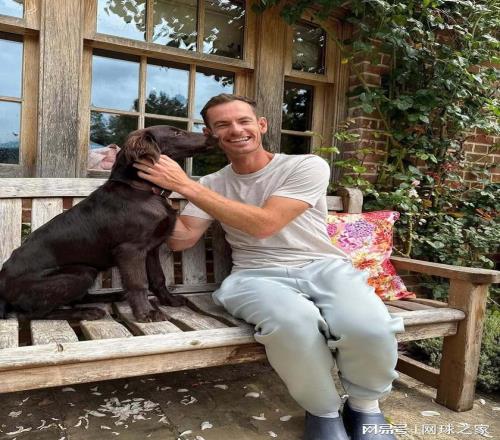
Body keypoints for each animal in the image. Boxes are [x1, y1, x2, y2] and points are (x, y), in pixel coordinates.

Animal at [0, 125, 217, 322]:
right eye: (176, 133)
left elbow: (158, 278)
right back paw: (87, 312)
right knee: (32, 314)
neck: (140, 189)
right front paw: (146, 314)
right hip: (80, 273)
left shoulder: (151, 248)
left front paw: (169, 301)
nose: (211, 135)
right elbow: (139, 283)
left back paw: (110, 296)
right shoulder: (130, 250)